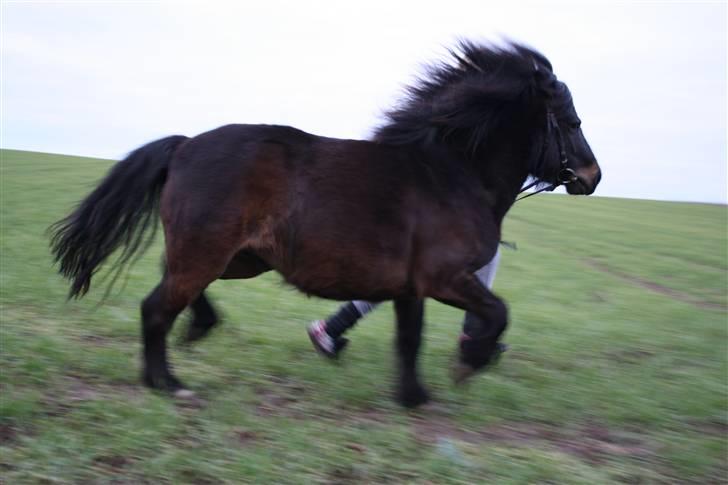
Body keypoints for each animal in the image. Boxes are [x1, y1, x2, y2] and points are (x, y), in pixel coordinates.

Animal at [51, 41, 604, 406]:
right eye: (571, 121)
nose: (592, 176)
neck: (450, 173)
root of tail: (185, 144)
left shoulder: (410, 288)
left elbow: (410, 340)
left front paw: (413, 396)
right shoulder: (444, 278)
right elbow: (497, 311)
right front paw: (469, 363)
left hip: (235, 258)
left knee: (173, 290)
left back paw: (194, 337)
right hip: (211, 254)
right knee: (156, 307)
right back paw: (167, 383)